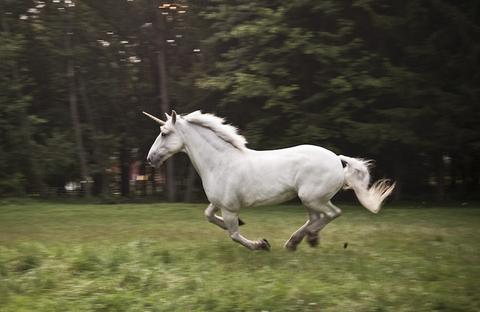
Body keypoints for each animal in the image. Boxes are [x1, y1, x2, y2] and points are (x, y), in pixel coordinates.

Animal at [142, 109, 394, 251]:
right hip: (310, 200)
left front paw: (261, 245)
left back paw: (306, 239)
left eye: (164, 133)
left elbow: (234, 235)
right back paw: (298, 242)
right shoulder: (218, 203)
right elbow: (209, 216)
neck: (220, 162)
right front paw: (242, 225)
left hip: (313, 198)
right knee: (316, 218)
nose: (150, 159)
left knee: (332, 214)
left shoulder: (229, 207)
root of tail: (337, 160)